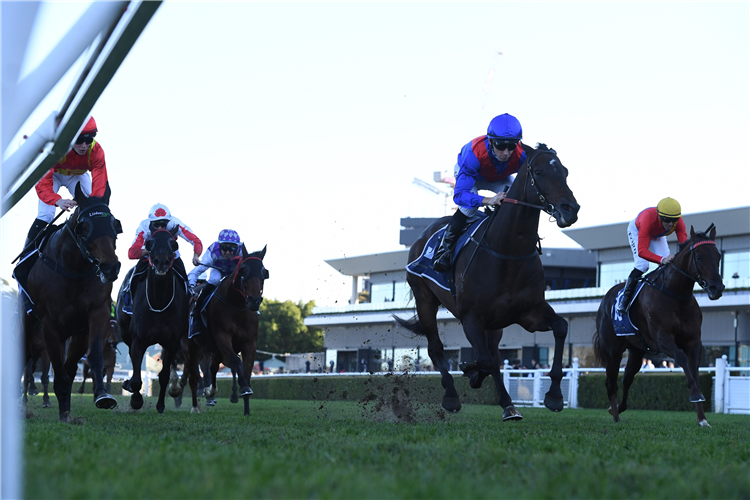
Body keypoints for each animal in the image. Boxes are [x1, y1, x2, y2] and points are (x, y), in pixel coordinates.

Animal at [20, 182, 122, 420]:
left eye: (114, 223)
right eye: (84, 226)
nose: (110, 267)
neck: (74, 269)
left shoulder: (96, 314)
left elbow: (92, 356)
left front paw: (102, 396)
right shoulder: (49, 324)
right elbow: (56, 369)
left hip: (75, 333)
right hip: (29, 322)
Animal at [117, 229, 191, 412]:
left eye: (173, 244)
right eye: (149, 244)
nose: (161, 262)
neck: (159, 303)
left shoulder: (172, 343)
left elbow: (164, 375)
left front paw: (160, 405)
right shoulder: (138, 339)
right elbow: (137, 377)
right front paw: (136, 399)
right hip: (126, 333)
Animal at [184, 245, 268, 414]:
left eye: (264, 272)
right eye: (243, 271)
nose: (254, 300)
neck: (237, 307)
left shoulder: (250, 343)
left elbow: (247, 369)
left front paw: (246, 407)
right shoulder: (222, 337)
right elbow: (236, 362)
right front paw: (243, 389)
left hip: (214, 350)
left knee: (212, 367)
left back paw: (210, 392)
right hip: (193, 345)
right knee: (195, 374)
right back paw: (196, 405)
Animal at [400, 143, 580, 420]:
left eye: (565, 172)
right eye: (539, 172)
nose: (570, 209)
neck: (507, 251)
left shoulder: (529, 313)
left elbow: (560, 327)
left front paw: (554, 396)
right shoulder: (471, 317)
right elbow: (482, 360)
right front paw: (469, 371)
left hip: (495, 323)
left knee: (493, 354)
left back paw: (508, 405)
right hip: (424, 299)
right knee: (436, 348)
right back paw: (451, 396)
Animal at [596, 226, 724, 426]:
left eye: (718, 256)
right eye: (699, 257)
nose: (716, 288)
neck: (675, 294)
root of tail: (605, 300)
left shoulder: (694, 342)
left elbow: (694, 372)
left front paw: (702, 419)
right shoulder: (662, 338)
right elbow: (681, 359)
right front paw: (695, 393)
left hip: (637, 350)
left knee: (627, 379)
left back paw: (617, 408)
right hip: (612, 350)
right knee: (611, 383)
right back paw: (616, 417)